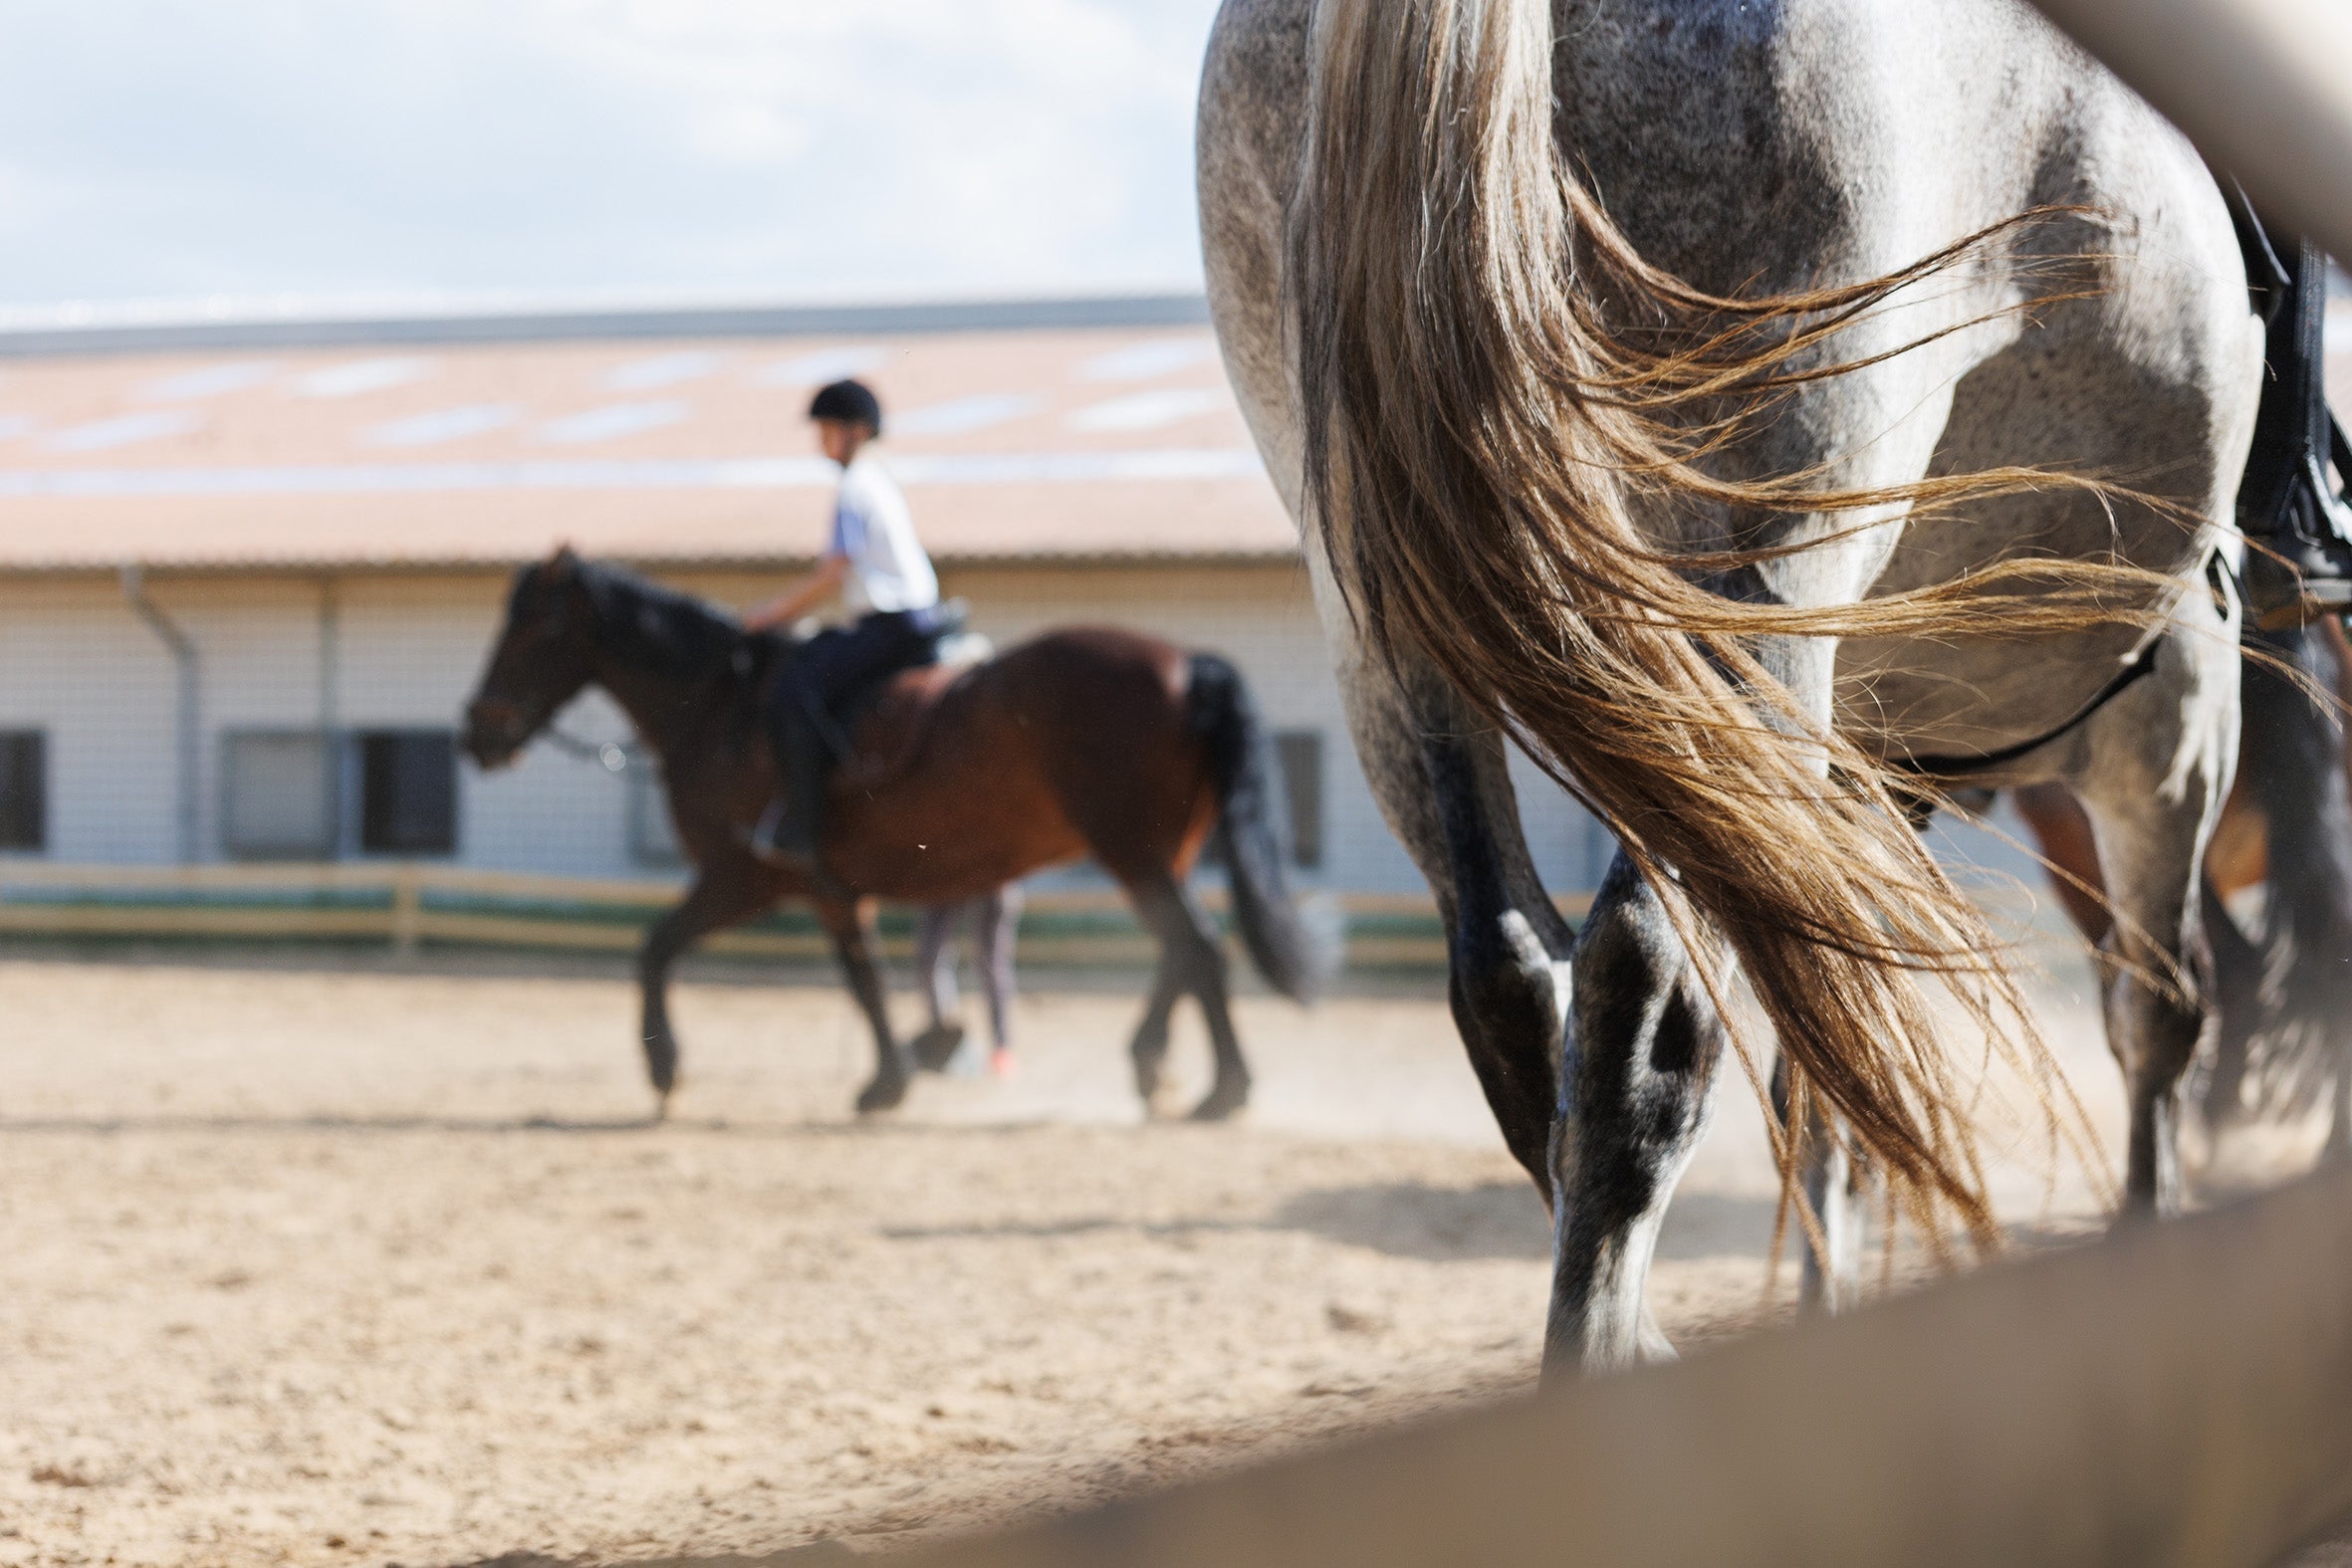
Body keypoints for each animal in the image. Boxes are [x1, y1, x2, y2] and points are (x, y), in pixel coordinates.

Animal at [460, 549, 1331, 1122]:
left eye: (531, 627)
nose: (476, 732)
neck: (722, 710)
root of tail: (1187, 662)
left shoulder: (747, 874)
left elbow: (661, 949)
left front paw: (667, 1067)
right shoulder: (826, 888)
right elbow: (865, 976)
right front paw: (899, 1071)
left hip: (1131, 847)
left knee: (1197, 946)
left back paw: (1220, 1089)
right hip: (1156, 849)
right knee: (1185, 949)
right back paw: (1158, 1067)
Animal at [1201, 0, 2274, 1371]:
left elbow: (1834, 1076)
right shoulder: (2172, 719)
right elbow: (2158, 1015)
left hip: (1389, 632)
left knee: (1512, 981)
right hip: (1748, 603)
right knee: (1647, 992)